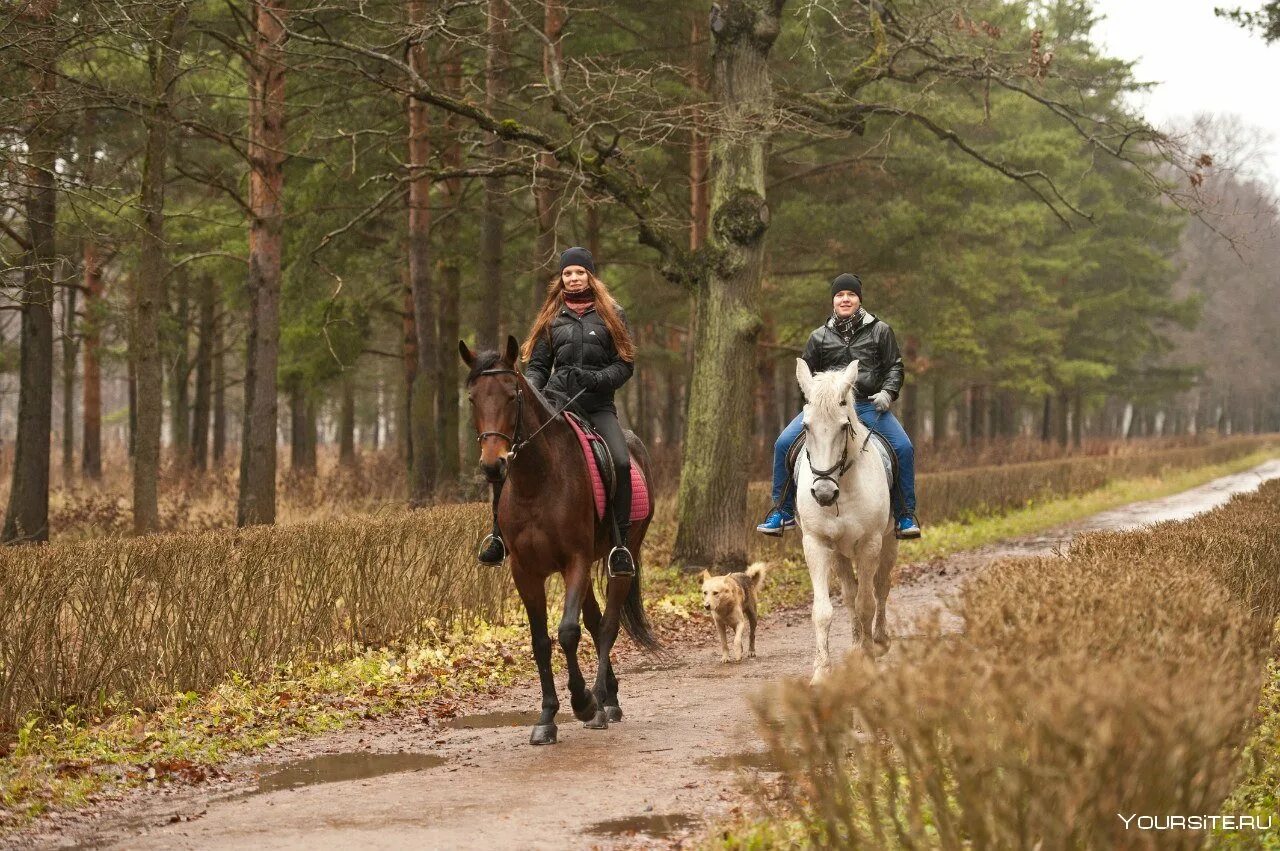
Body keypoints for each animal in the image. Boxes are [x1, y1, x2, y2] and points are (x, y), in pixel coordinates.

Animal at [460, 335, 660, 747]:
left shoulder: (575, 561)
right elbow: (540, 641)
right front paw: (547, 718)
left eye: (512, 395)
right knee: (595, 620)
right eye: (473, 398)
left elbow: (568, 632)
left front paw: (582, 702)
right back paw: (609, 697)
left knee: (608, 625)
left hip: (623, 557)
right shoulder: (525, 571)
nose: (493, 465)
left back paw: (601, 703)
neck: (538, 480)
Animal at [793, 358, 896, 685]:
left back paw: (879, 641)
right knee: (850, 596)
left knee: (880, 588)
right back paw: (855, 646)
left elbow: (867, 603)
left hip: (889, 543)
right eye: (806, 426)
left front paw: (869, 661)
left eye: (843, 426)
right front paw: (821, 672)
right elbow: (824, 611)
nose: (824, 493)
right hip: (839, 552)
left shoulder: (870, 544)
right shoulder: (816, 544)